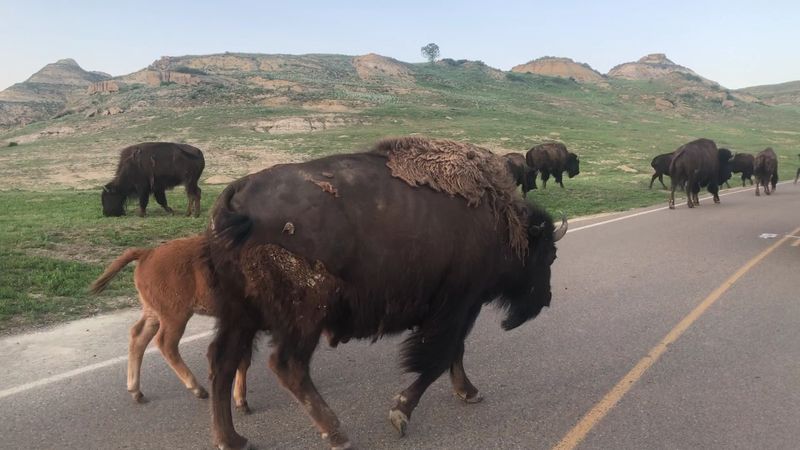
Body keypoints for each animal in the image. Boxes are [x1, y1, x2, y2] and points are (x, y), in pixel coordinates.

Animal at [205, 137, 566, 450]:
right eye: (548, 255)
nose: (545, 299)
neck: (500, 222)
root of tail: (237, 193)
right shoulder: (457, 307)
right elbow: (437, 360)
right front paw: (401, 413)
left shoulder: (456, 310)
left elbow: (455, 353)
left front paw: (468, 392)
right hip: (304, 314)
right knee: (287, 365)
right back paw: (336, 433)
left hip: (240, 314)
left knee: (223, 362)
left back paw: (231, 439)